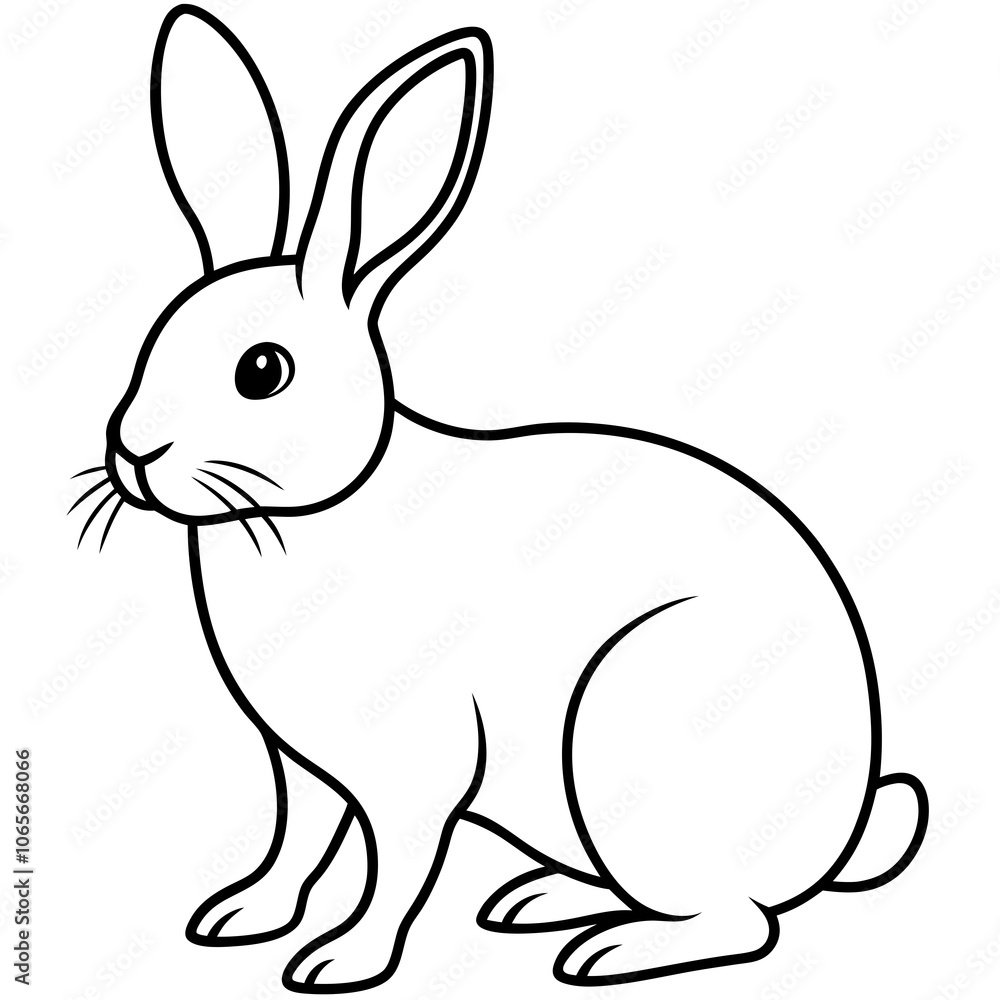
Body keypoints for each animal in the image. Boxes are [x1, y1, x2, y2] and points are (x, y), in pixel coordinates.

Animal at [78, 4, 929, 992]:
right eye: (153, 336)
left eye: (263, 371)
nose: (132, 452)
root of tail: (840, 837)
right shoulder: (300, 764)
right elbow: (298, 842)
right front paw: (238, 916)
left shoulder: (421, 768)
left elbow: (395, 866)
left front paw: (339, 961)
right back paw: (540, 901)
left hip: (624, 746)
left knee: (741, 921)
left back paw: (608, 948)